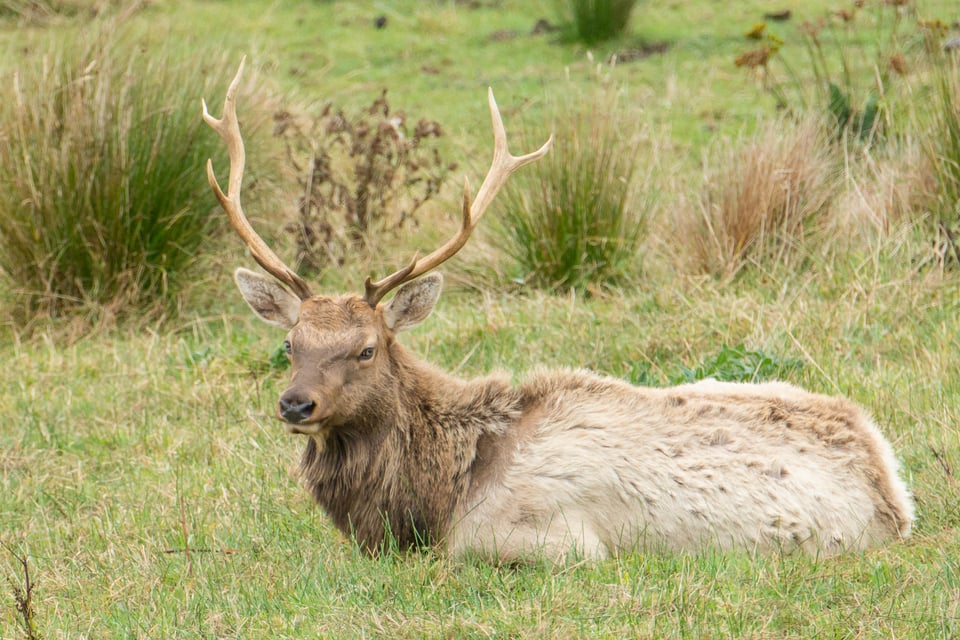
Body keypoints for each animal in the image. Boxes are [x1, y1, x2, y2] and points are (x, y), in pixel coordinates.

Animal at [202, 58, 916, 560]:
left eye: (366, 348)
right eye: (290, 343)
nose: (296, 404)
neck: (438, 496)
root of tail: (893, 484)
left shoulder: (545, 541)